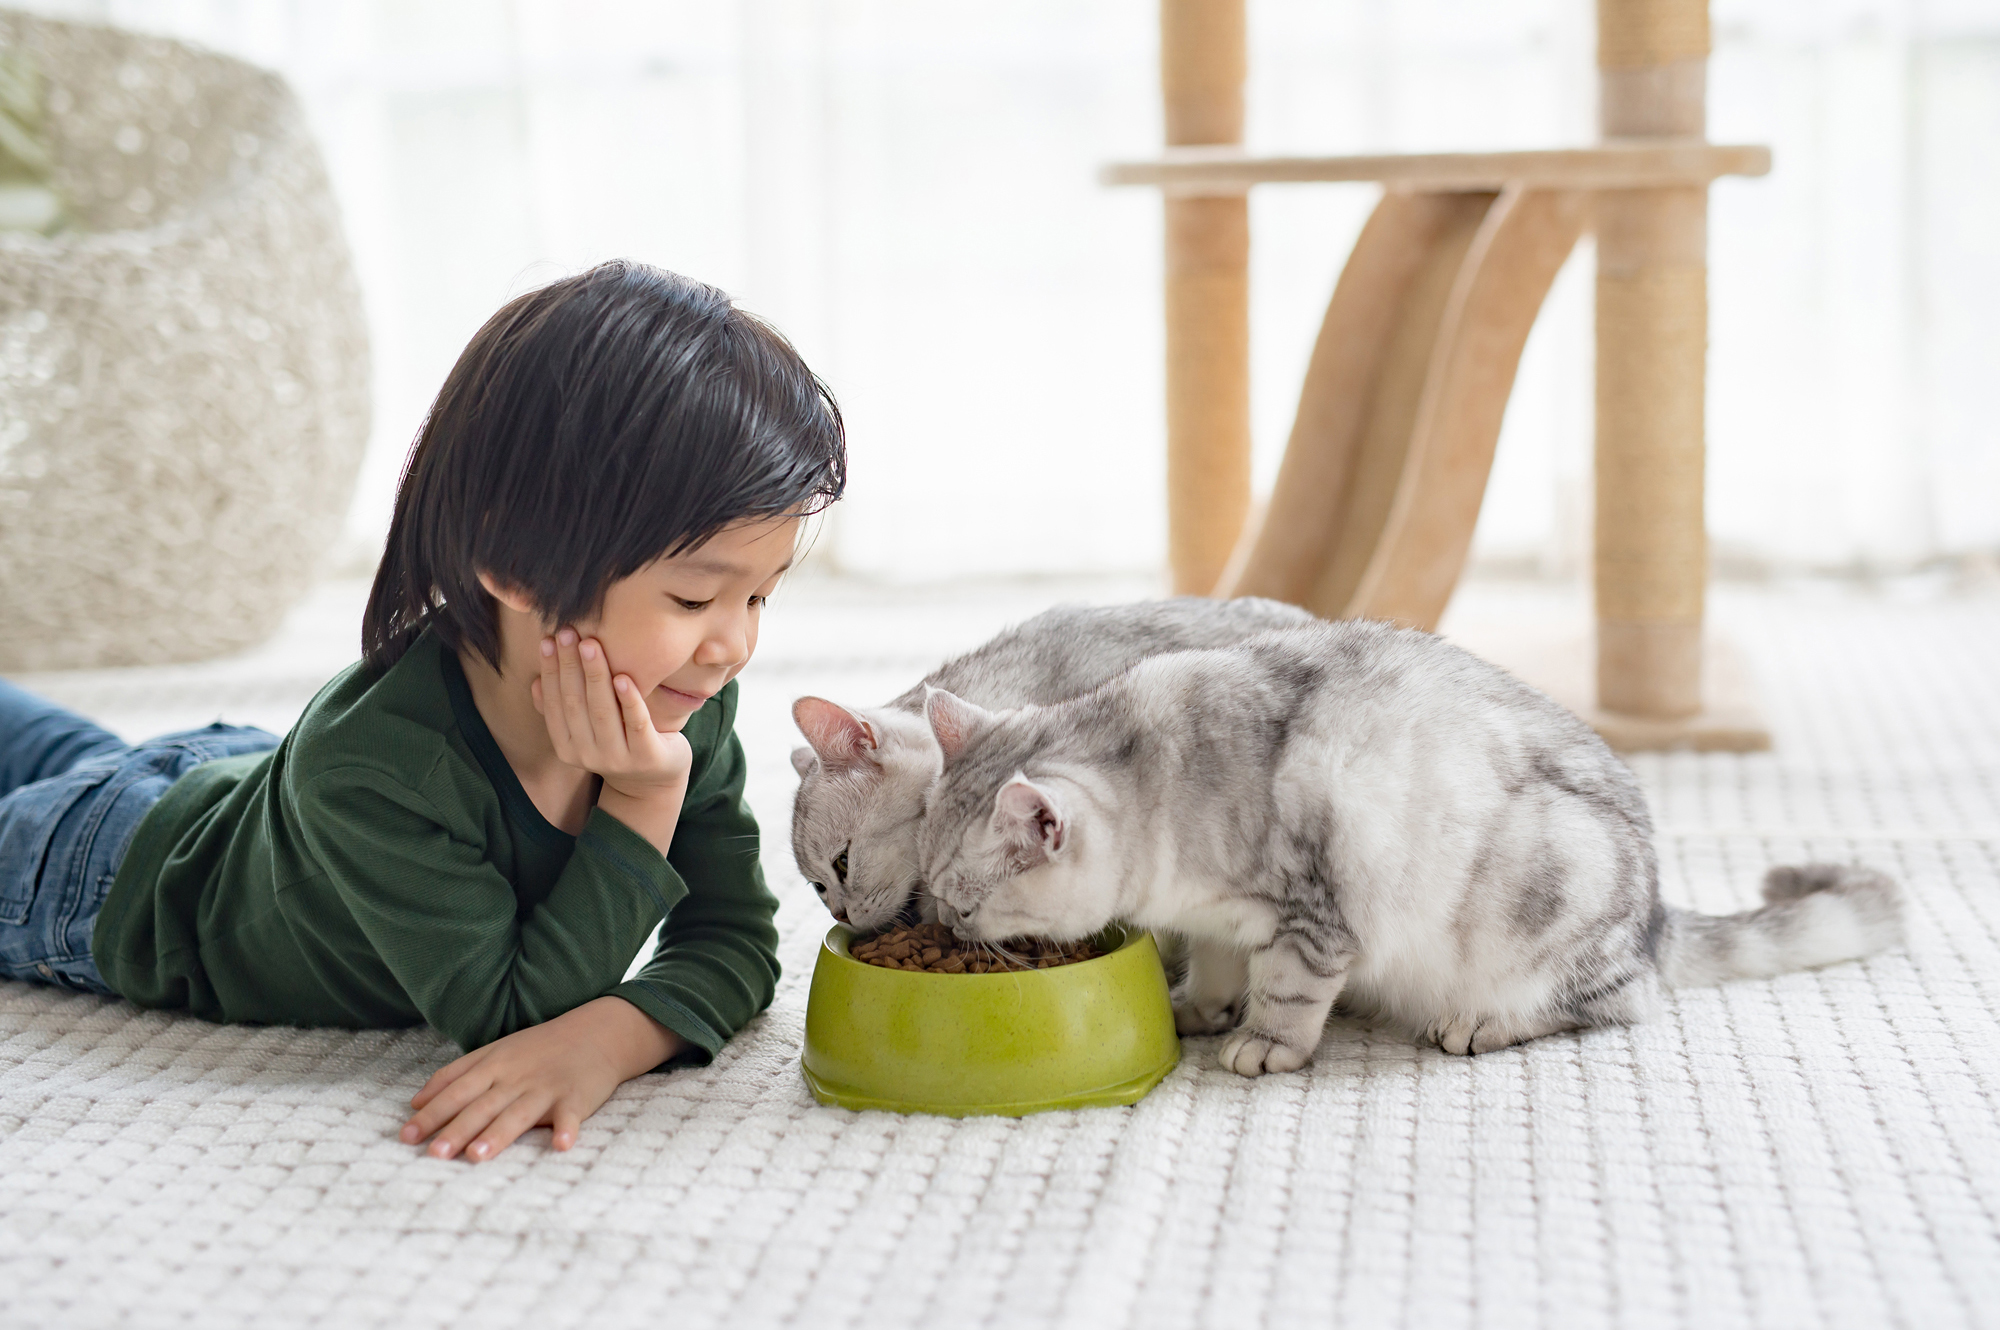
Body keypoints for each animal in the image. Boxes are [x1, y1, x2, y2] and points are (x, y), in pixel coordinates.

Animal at [916, 620, 1896, 1072]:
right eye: (933, 895)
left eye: (963, 904)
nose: (947, 931)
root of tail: (1656, 909)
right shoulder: (1221, 920)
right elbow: (1220, 970)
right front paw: (1198, 1007)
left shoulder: (1309, 919)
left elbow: (1286, 996)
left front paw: (1262, 1045)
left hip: (1552, 906)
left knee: (1625, 1001)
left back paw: (1480, 1023)